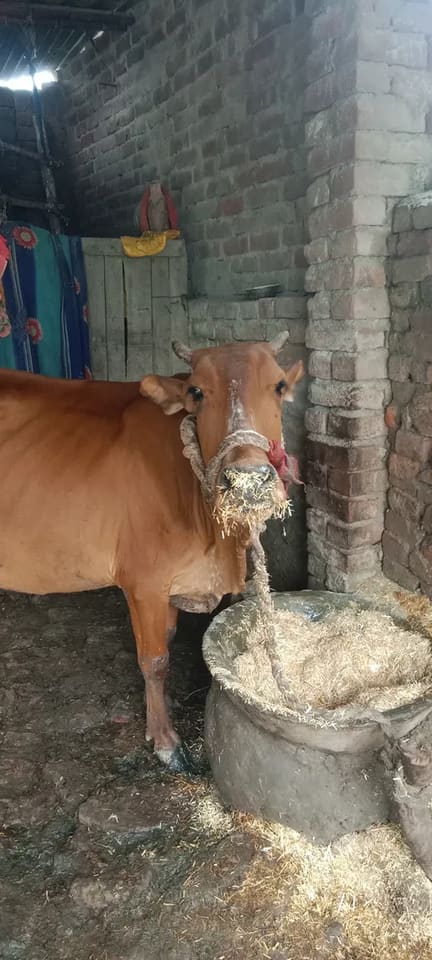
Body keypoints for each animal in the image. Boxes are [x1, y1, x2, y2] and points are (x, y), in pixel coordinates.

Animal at [0, 335, 304, 773]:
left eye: (279, 385)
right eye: (196, 391)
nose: (248, 480)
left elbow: (168, 640)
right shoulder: (143, 582)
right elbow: (154, 659)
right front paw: (165, 740)